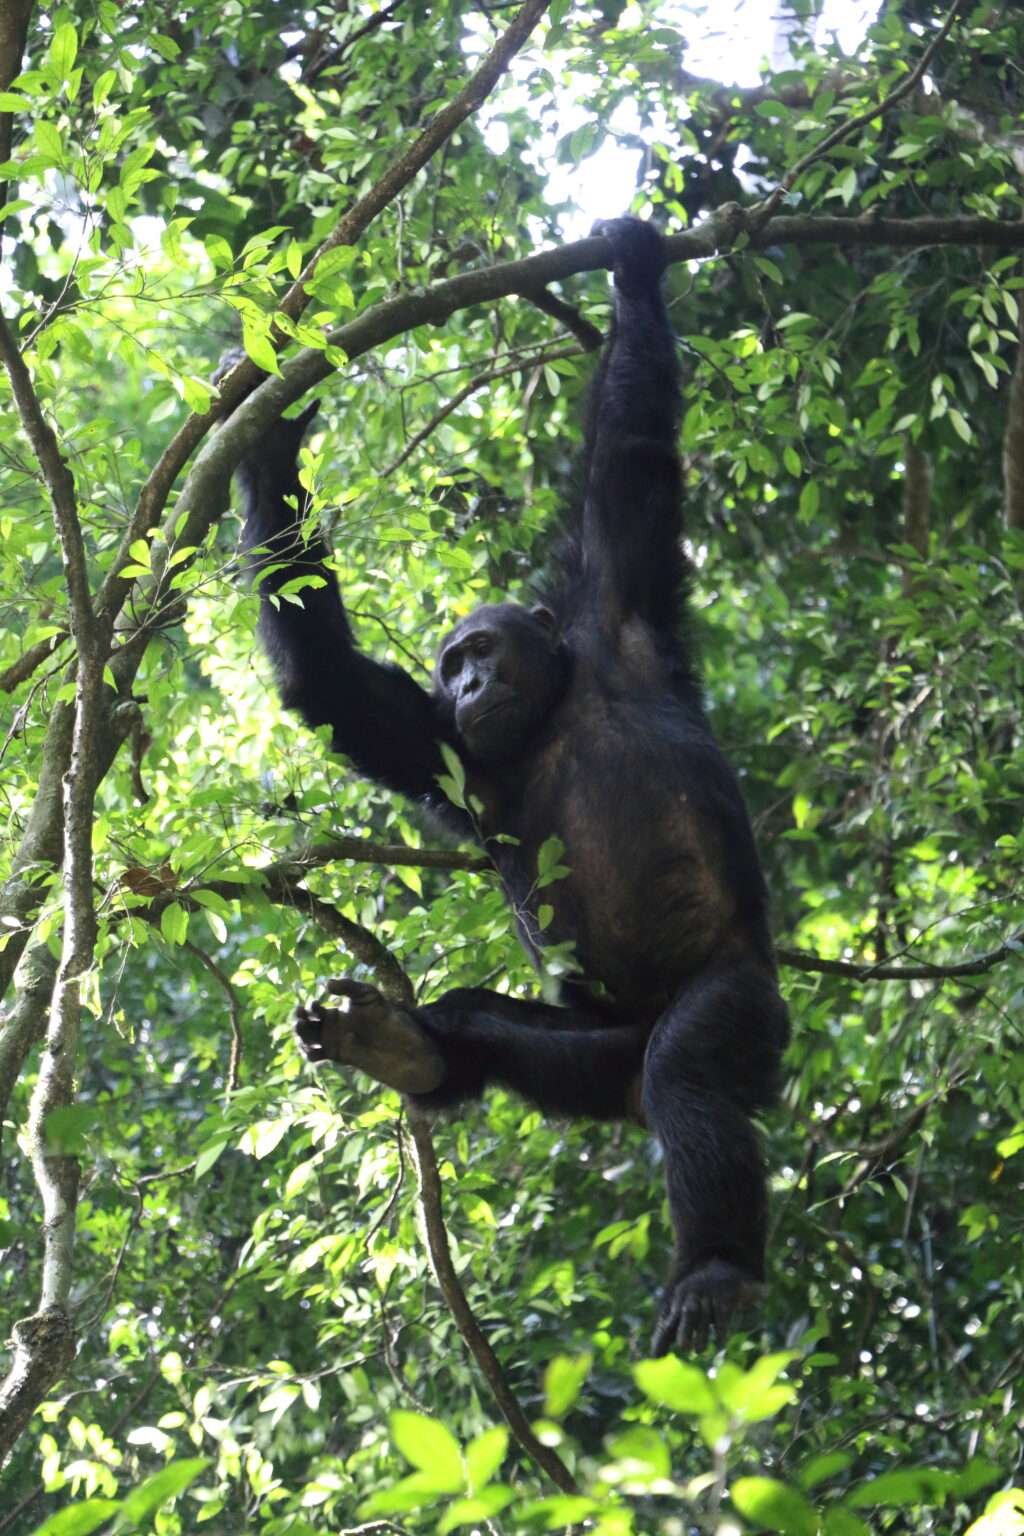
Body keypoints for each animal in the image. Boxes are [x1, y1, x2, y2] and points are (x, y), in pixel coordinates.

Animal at [231, 219, 792, 1357]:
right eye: (449, 667)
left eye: (479, 649)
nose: (470, 682)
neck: (548, 714)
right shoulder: (437, 744)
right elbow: (331, 683)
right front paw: (269, 452)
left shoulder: (621, 599)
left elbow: (632, 448)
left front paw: (632, 268)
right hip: (590, 1054)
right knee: (492, 1033)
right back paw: (402, 1043)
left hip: (740, 1008)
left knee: (688, 1070)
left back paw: (713, 1267)